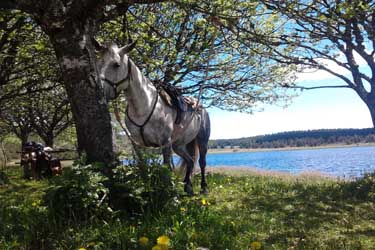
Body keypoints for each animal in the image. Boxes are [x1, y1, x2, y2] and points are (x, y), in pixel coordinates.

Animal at [97, 41, 212, 195]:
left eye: (116, 64)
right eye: (99, 63)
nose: (101, 91)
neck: (145, 106)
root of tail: (200, 107)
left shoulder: (165, 143)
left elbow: (167, 168)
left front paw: (169, 193)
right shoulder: (139, 145)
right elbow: (142, 166)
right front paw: (147, 189)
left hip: (202, 140)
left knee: (202, 162)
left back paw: (203, 187)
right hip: (179, 145)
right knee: (189, 161)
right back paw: (188, 186)